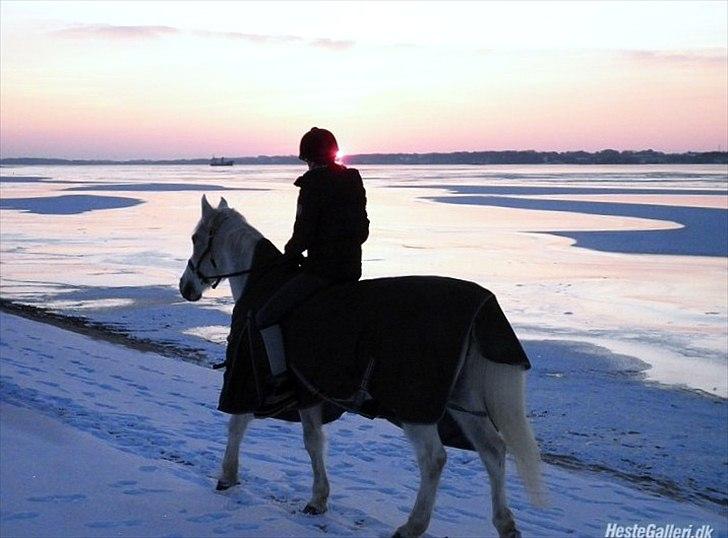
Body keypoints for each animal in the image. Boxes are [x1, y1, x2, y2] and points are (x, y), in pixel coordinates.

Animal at [181, 195, 544, 532]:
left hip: (417, 407)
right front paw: (317, 499)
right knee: (493, 450)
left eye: (196, 238)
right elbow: (313, 442)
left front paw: (227, 476)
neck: (262, 285)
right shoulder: (308, 390)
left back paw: (413, 526)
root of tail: (480, 306)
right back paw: (505, 523)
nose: (186, 287)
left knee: (434, 459)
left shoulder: (253, 377)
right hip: (463, 400)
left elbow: (239, 424)